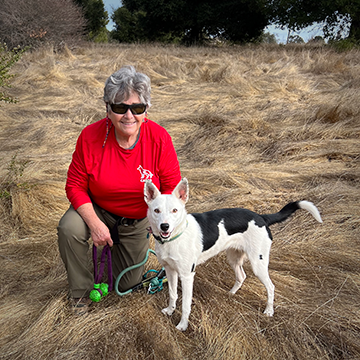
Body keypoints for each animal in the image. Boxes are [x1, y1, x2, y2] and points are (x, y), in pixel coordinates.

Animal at [144, 178, 324, 332]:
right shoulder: (170, 270)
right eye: (156, 210)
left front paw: (182, 325)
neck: (175, 237)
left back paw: (269, 310)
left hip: (258, 263)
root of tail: (261, 217)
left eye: (175, 210)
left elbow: (186, 304)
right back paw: (231, 293)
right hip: (233, 258)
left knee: (271, 286)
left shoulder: (187, 275)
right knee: (242, 276)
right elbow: (173, 294)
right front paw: (170, 310)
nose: (164, 226)